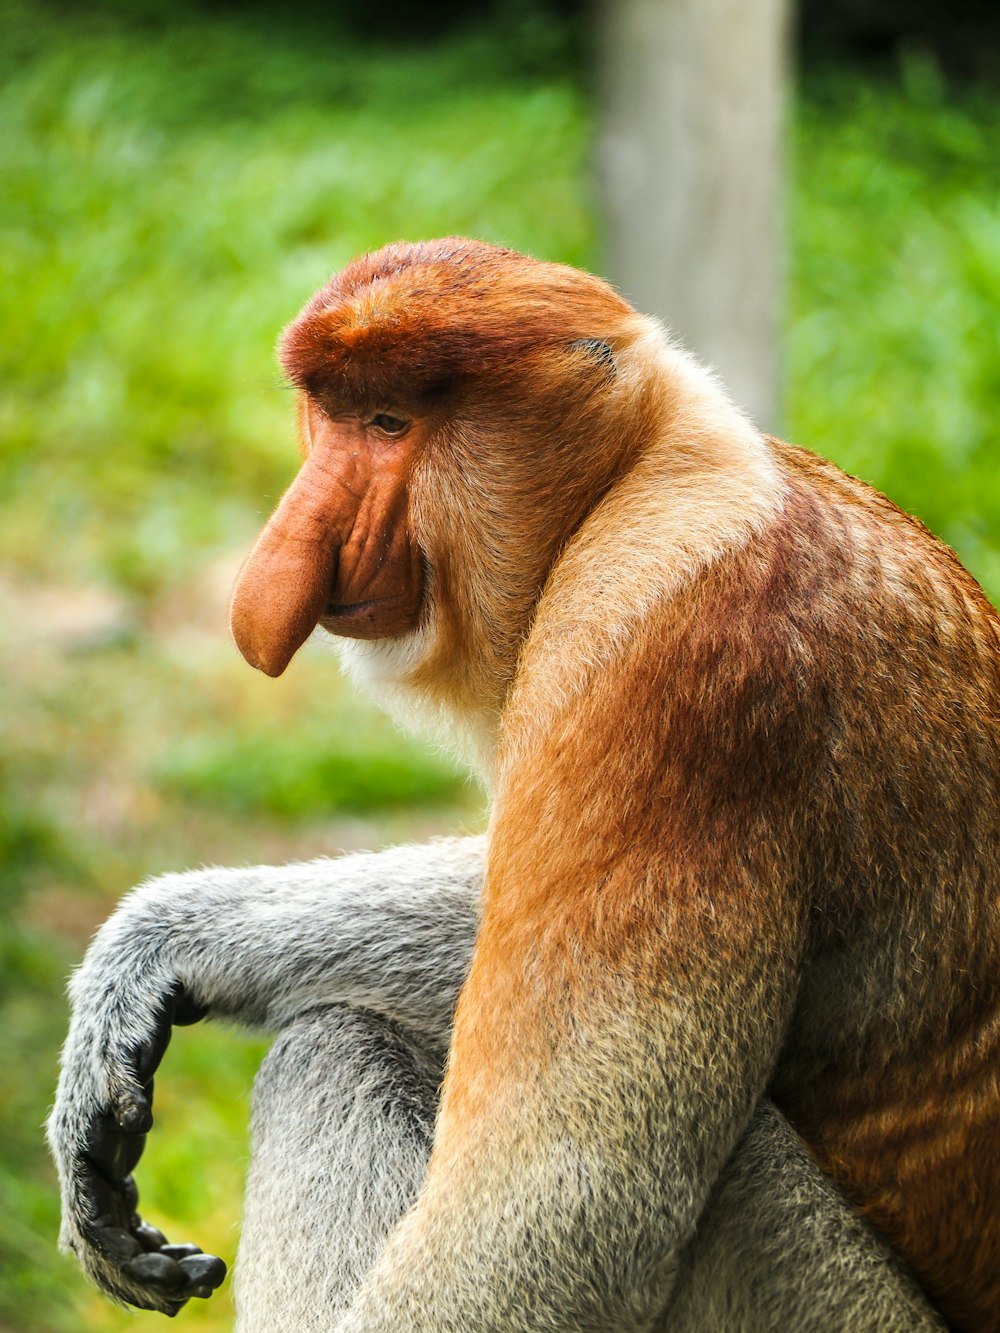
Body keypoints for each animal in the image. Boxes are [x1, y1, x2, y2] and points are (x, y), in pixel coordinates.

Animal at [51, 242, 997, 1333]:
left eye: (390, 424)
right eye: (329, 416)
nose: (283, 561)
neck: (641, 473)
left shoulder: (665, 657)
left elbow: (554, 1206)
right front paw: (149, 954)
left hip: (821, 1300)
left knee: (338, 1049)